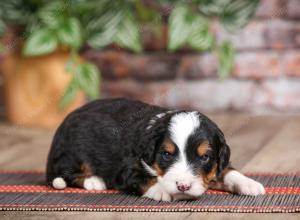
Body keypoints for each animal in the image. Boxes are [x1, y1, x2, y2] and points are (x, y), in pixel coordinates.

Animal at [47, 98, 264, 201]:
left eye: (204, 157)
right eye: (166, 155)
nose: (183, 186)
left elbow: (227, 170)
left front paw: (249, 183)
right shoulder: (127, 169)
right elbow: (145, 179)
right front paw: (161, 190)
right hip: (72, 153)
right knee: (66, 173)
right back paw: (94, 181)